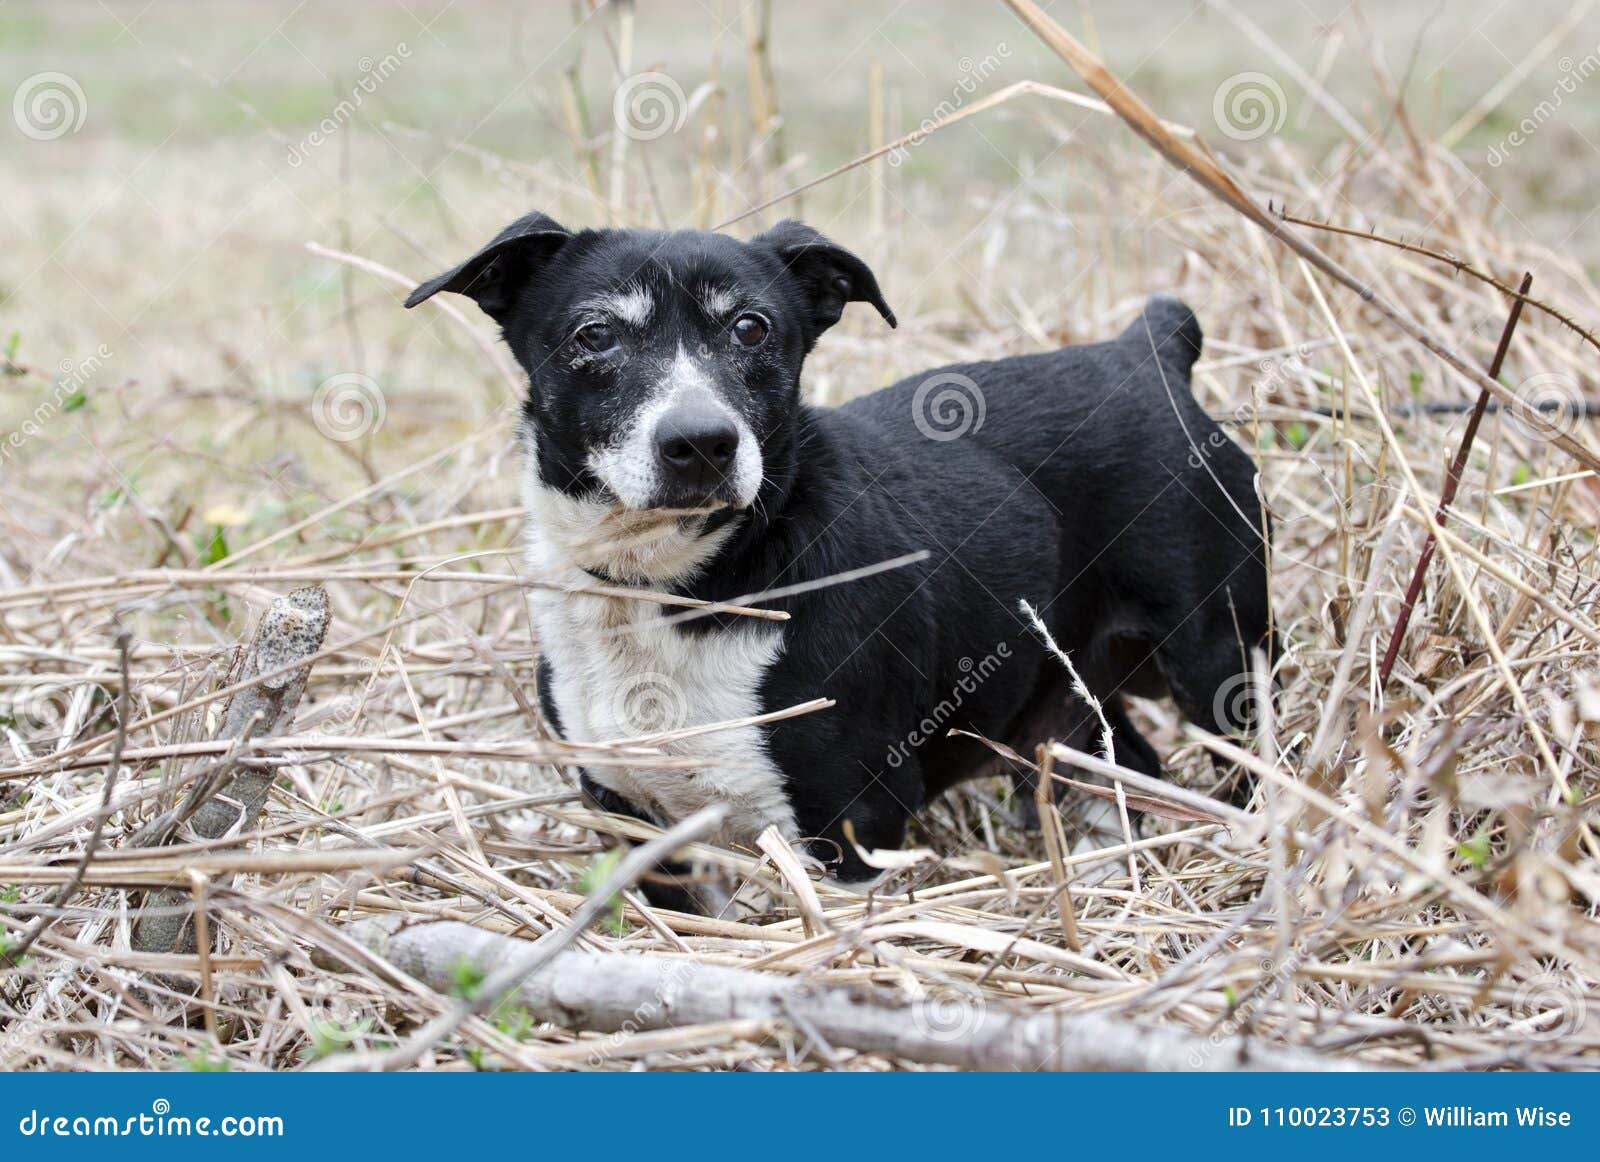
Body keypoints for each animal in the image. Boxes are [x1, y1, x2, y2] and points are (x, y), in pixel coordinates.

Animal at [409, 217, 1273, 902]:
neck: (673, 586)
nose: (701, 441)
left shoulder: (853, 821)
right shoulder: (636, 824)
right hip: (1063, 695)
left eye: (751, 328)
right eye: (595, 335)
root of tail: (1148, 348)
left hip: (1219, 660)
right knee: (1129, 761)